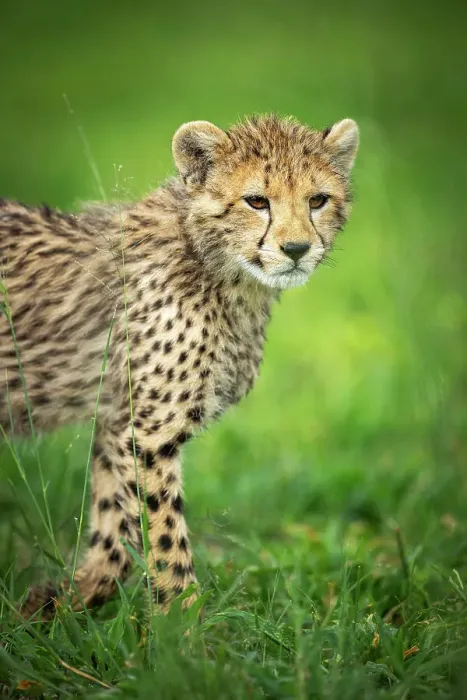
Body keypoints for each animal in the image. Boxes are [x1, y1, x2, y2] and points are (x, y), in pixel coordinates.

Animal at [0, 114, 359, 617]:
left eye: (317, 200)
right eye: (257, 201)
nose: (296, 249)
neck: (221, 270)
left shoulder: (118, 418)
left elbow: (116, 529)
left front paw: (63, 600)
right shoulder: (150, 430)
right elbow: (163, 533)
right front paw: (183, 623)